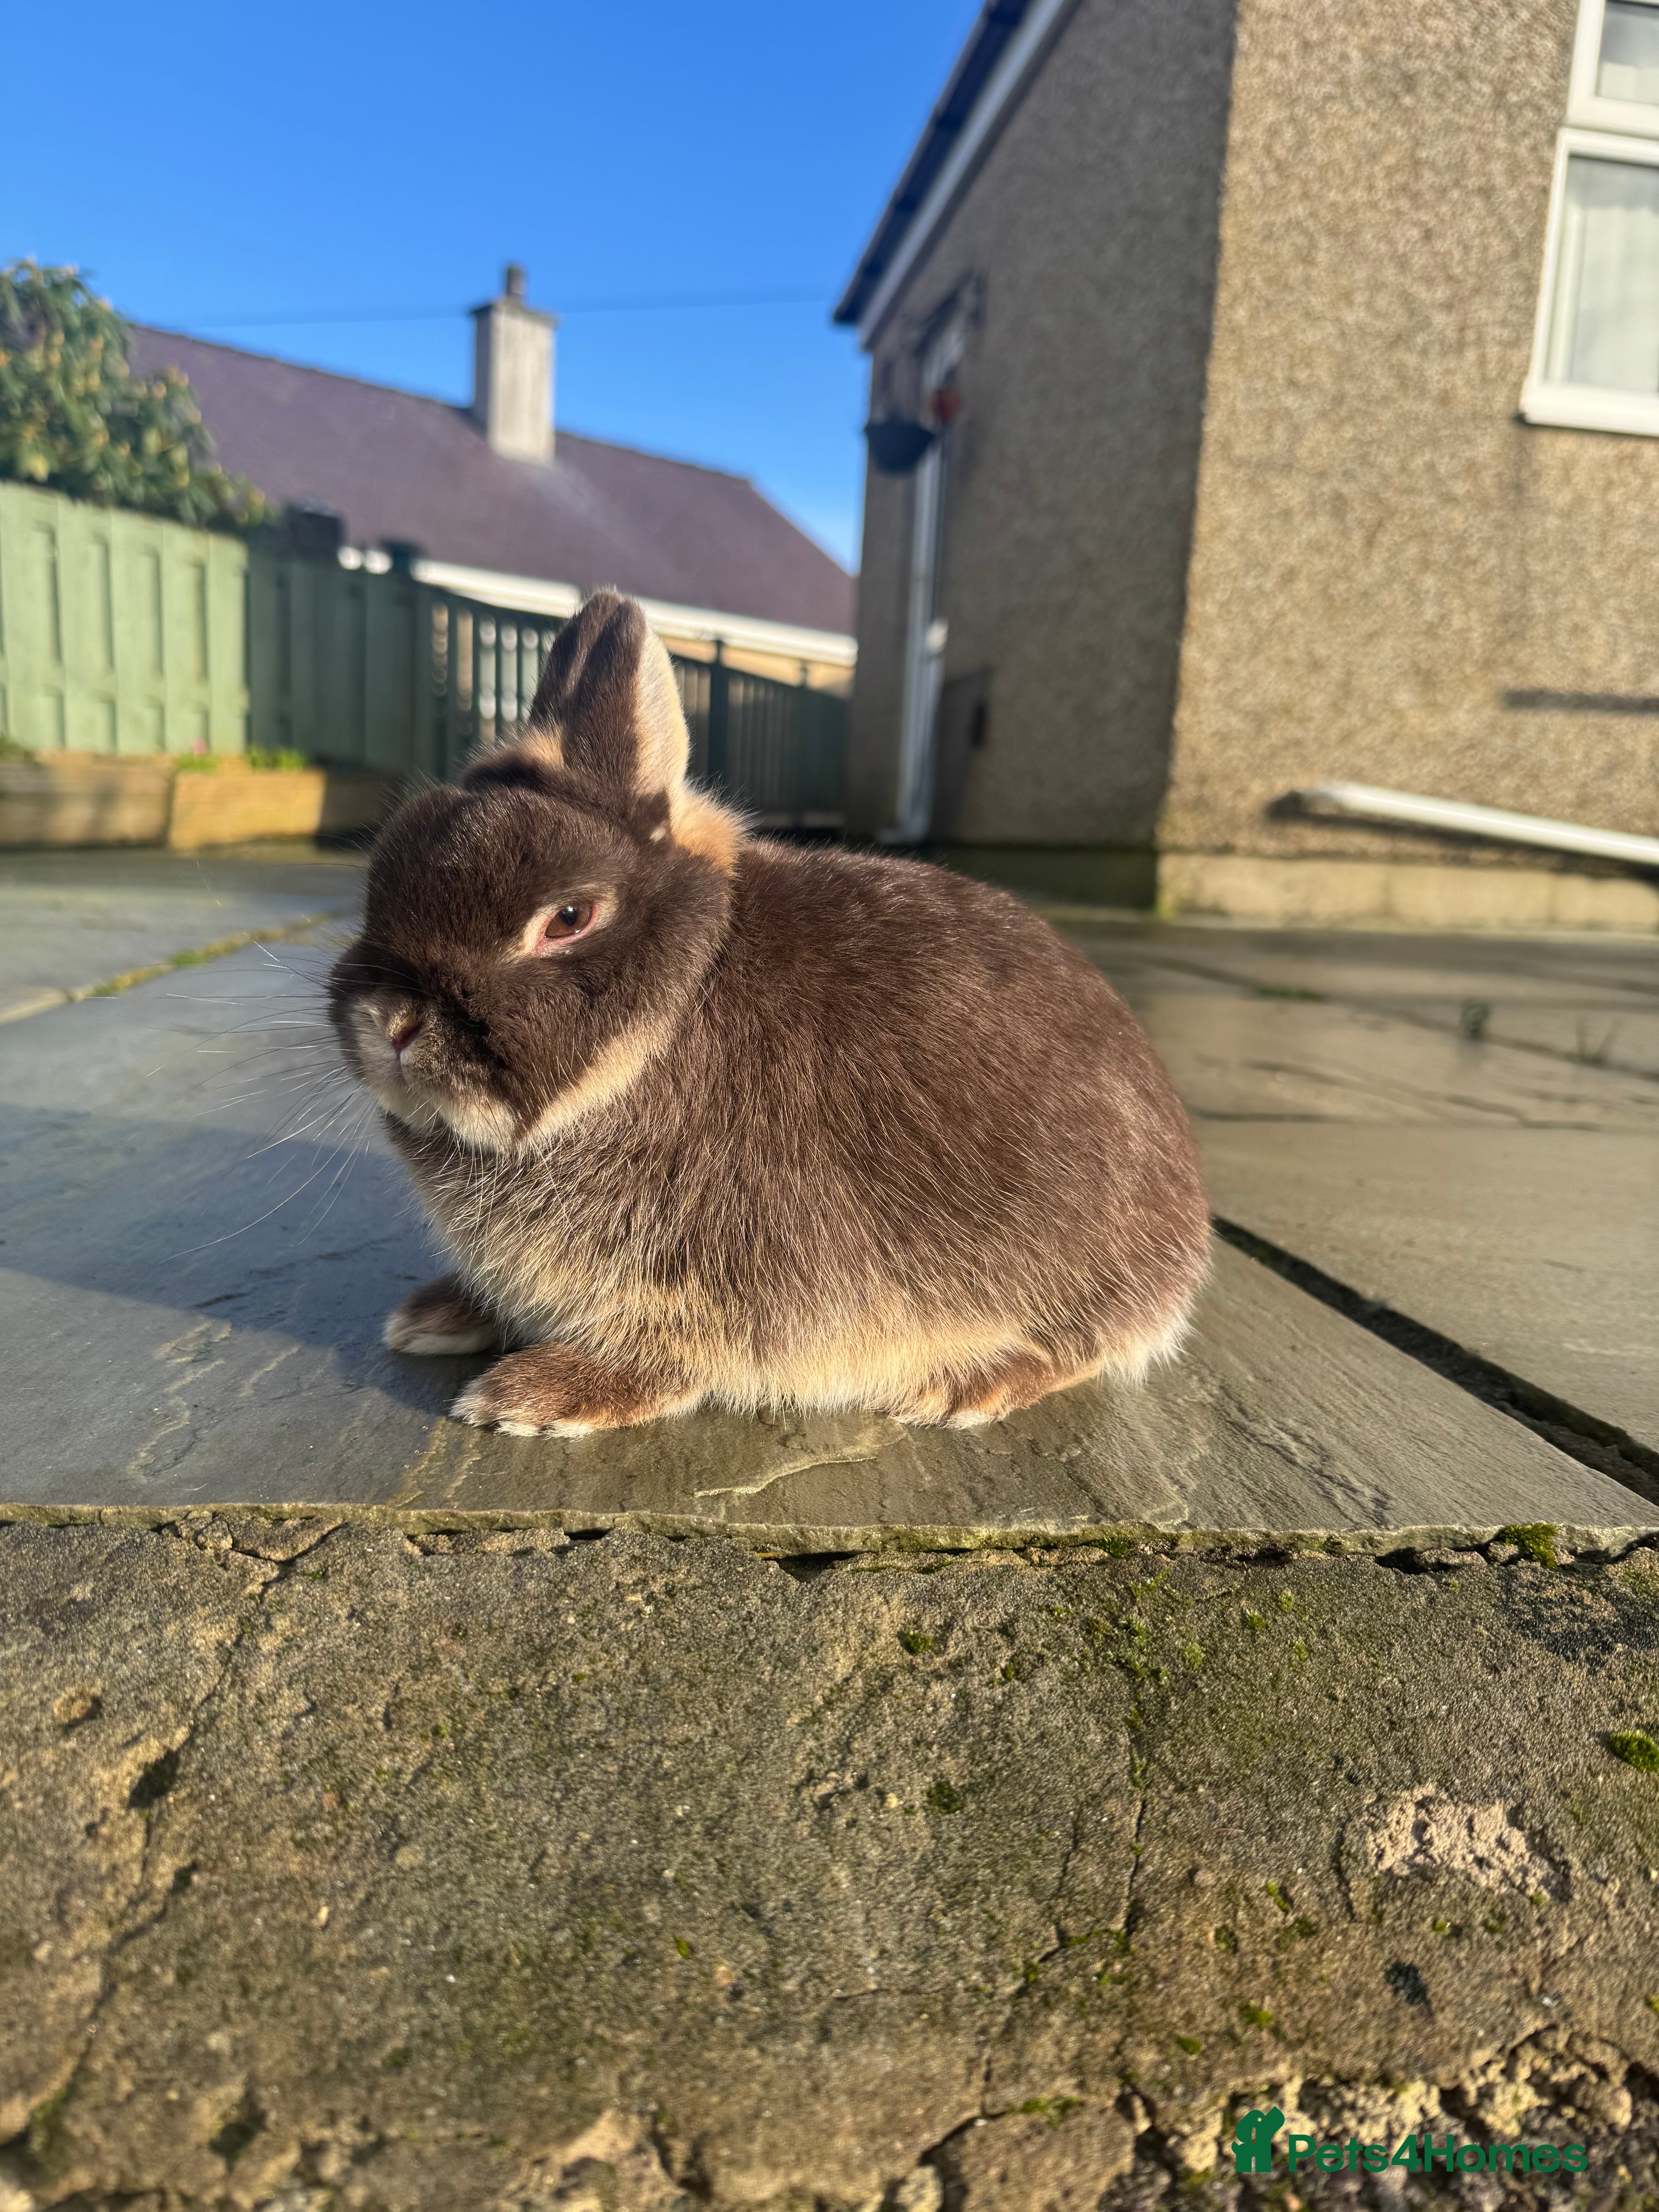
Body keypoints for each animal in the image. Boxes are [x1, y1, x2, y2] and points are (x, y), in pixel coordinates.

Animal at [327, 588, 1210, 1436]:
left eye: (569, 918)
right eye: (381, 878)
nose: (391, 1021)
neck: (669, 1017)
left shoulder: (703, 1279)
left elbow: (668, 1354)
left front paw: (538, 1396)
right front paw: (437, 1317)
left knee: (1078, 1346)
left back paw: (962, 1387)